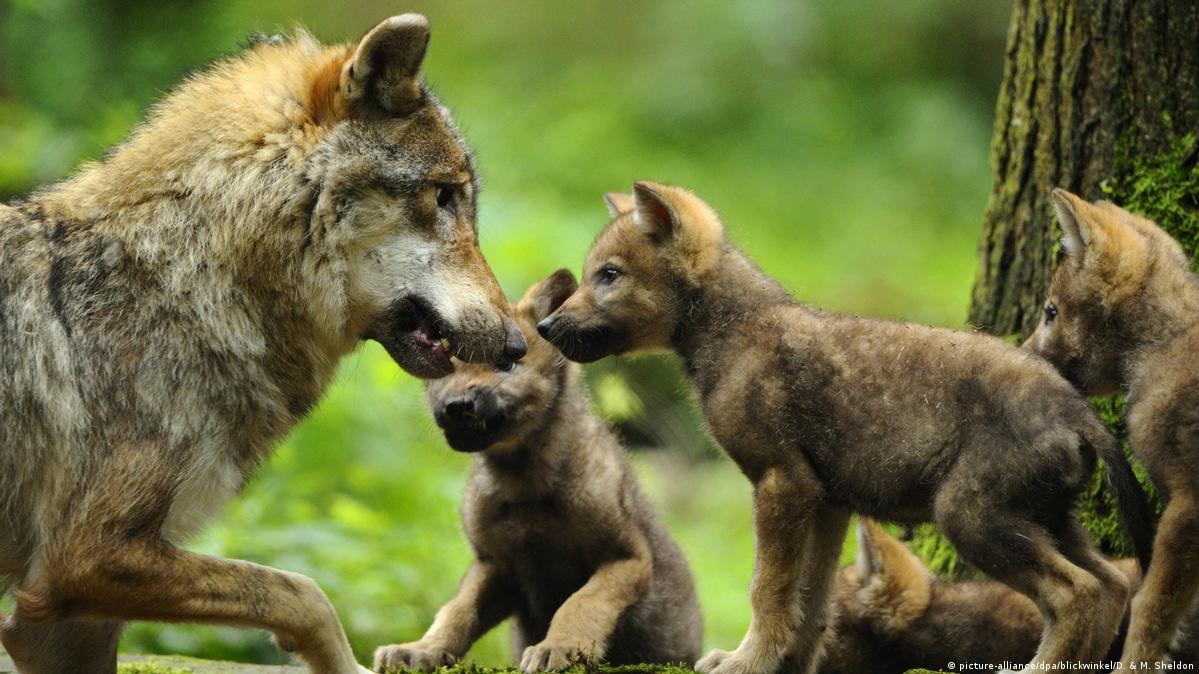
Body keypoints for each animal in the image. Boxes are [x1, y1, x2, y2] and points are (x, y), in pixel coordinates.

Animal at [0, 15, 527, 674]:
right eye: (444, 196)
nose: (518, 344)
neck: (182, 281)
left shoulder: (61, 624)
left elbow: (294, 589)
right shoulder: (83, 561)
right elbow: (303, 592)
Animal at [373, 270, 703, 673]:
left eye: (507, 365)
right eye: (449, 368)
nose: (456, 406)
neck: (521, 484)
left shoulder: (625, 557)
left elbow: (579, 605)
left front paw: (560, 648)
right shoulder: (494, 564)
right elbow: (456, 611)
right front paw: (420, 649)